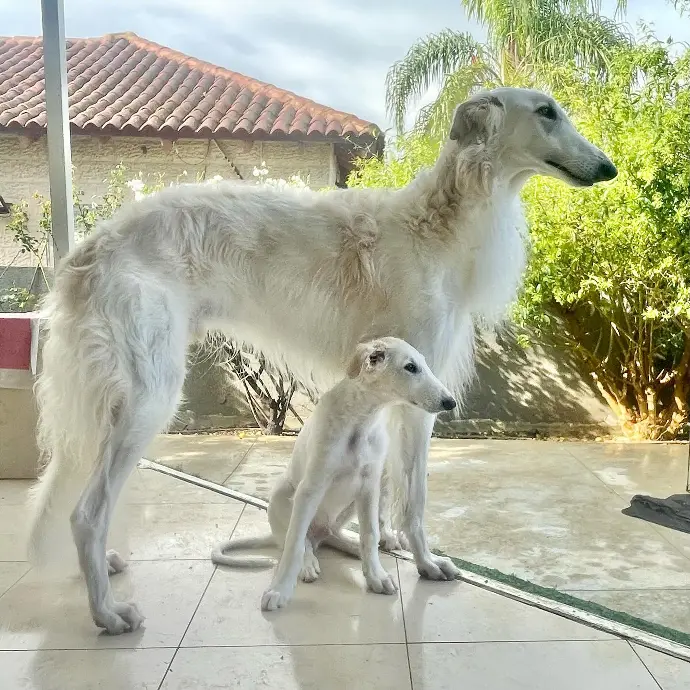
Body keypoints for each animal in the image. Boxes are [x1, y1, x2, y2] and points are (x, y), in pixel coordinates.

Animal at [210, 334, 456, 608]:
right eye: (410, 367)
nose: (451, 402)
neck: (361, 421)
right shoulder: (311, 487)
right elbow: (294, 543)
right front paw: (280, 590)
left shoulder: (368, 487)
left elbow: (370, 533)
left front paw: (376, 576)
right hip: (283, 495)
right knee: (298, 541)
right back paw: (307, 564)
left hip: (346, 509)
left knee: (332, 535)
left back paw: (353, 547)